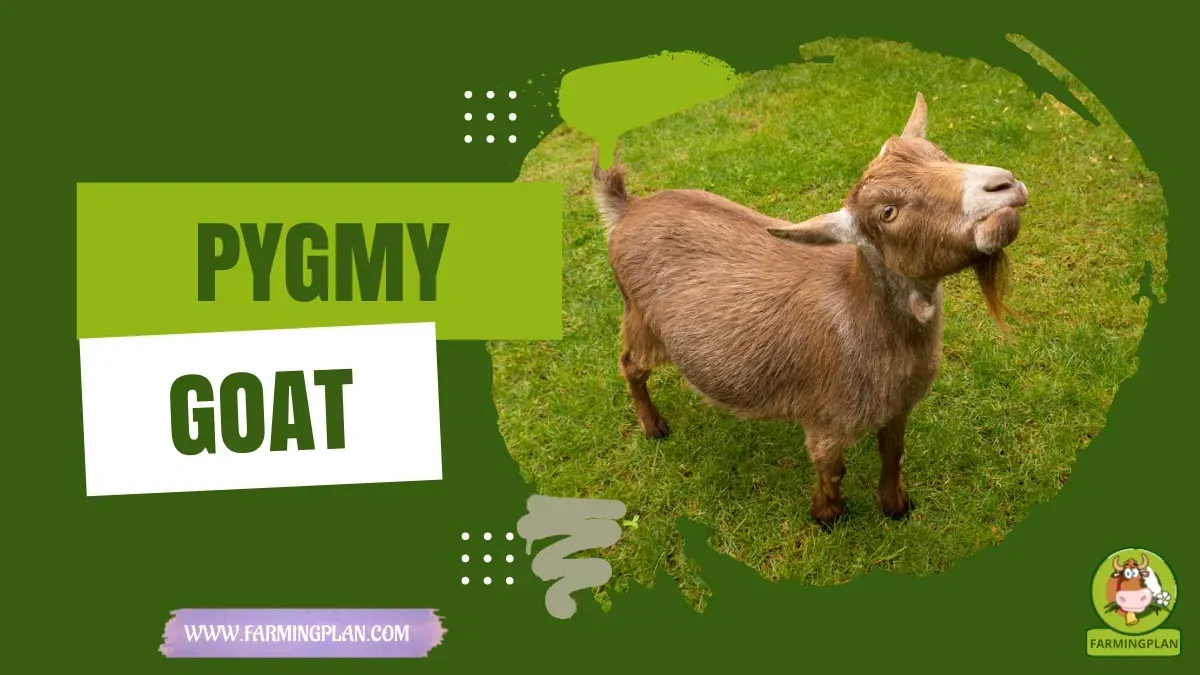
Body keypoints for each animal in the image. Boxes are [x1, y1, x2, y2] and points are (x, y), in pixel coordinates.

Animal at [592, 93, 1028, 527]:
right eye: (888, 212)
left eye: (941, 154)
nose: (1004, 186)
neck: (858, 315)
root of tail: (627, 209)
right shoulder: (825, 421)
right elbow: (831, 468)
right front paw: (828, 515)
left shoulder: (897, 406)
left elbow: (893, 452)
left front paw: (895, 506)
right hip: (641, 320)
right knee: (630, 364)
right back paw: (654, 427)